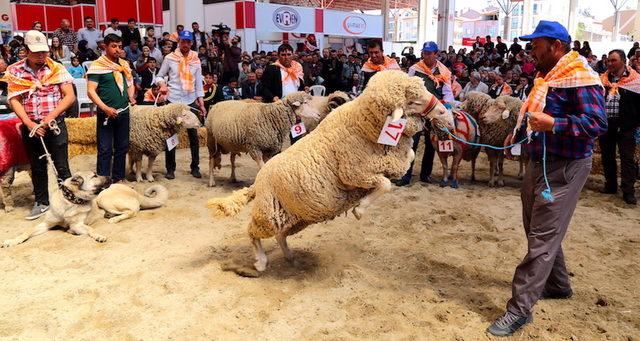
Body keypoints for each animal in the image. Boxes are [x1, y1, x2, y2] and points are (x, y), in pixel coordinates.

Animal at [205, 70, 450, 272]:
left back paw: (290, 257)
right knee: (252, 233)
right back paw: (260, 263)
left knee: (280, 236)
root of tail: (256, 185)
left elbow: (406, 162)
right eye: (413, 101)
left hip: (296, 217)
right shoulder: (354, 173)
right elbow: (385, 184)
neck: (363, 127)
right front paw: (359, 209)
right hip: (268, 212)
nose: (443, 111)